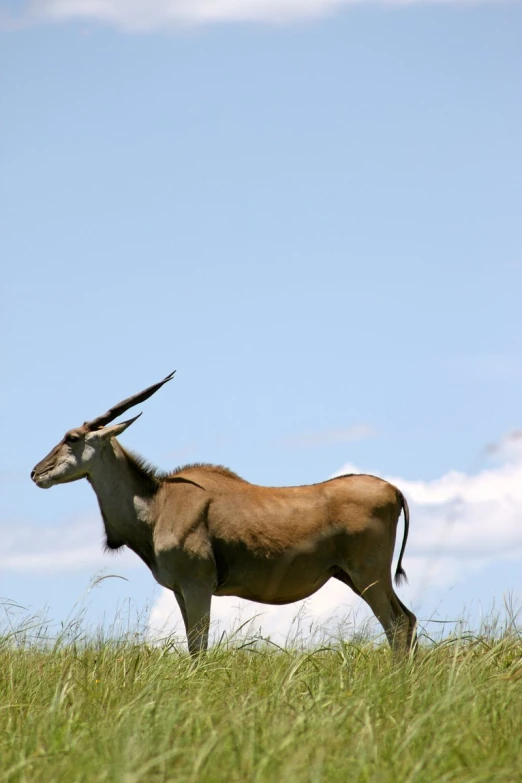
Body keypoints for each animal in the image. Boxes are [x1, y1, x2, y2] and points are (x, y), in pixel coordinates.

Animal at [31, 374, 414, 656]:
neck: (158, 503)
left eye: (72, 437)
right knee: (407, 620)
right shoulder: (180, 591)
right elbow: (192, 646)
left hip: (368, 575)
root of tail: (393, 491)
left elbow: (200, 647)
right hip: (353, 576)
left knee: (396, 625)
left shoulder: (198, 585)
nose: (36, 472)